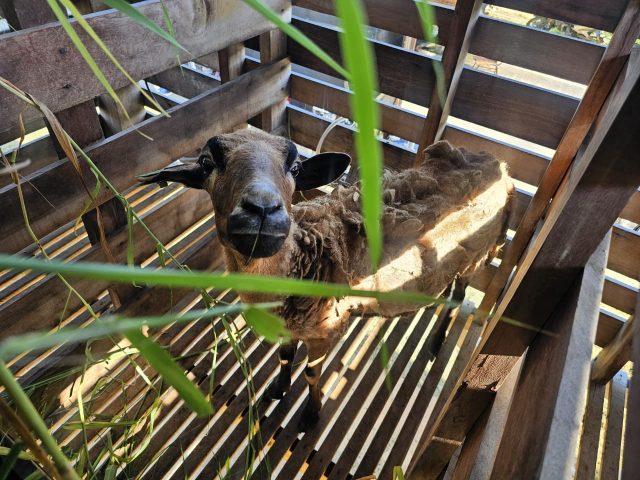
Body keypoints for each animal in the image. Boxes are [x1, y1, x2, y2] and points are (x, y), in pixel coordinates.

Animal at [138, 129, 514, 431]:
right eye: (206, 163)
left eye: (295, 167)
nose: (262, 210)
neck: (303, 257)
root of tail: (497, 162)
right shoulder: (288, 325)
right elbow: (284, 357)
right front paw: (277, 389)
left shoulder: (323, 331)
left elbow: (311, 374)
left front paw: (310, 415)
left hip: (478, 254)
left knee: (459, 293)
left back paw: (437, 342)